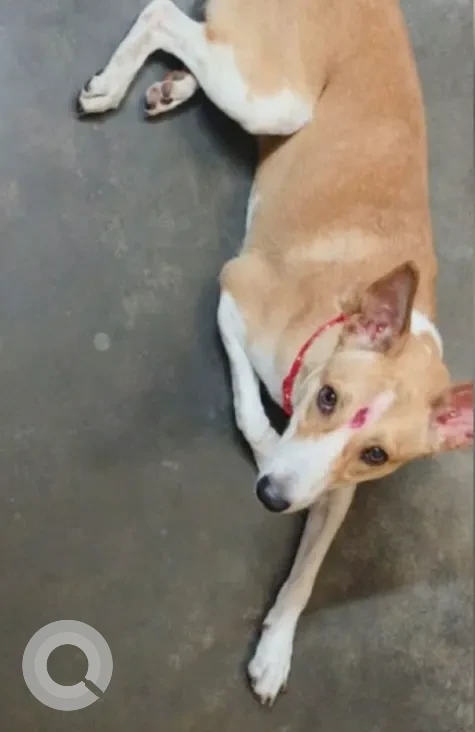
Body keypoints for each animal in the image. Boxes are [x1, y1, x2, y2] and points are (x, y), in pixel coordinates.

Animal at [76, 0, 473, 706]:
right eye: (328, 397)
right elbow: (247, 408)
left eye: (377, 455)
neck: (333, 320)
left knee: (200, 31)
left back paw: (175, 84)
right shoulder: (233, 296)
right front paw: (264, 444)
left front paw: (276, 648)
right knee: (161, 16)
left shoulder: (336, 489)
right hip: (277, 102)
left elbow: (309, 569)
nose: (271, 498)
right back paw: (115, 83)